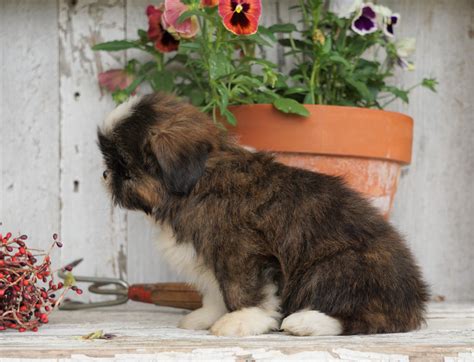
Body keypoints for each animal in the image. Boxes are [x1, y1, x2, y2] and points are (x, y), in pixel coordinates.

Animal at [98, 92, 428, 336]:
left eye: (124, 166)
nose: (105, 174)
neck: (196, 182)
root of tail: (413, 300)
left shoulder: (240, 252)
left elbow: (243, 289)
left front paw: (243, 320)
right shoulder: (213, 257)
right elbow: (216, 291)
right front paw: (207, 316)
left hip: (336, 267)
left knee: (367, 318)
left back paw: (306, 322)